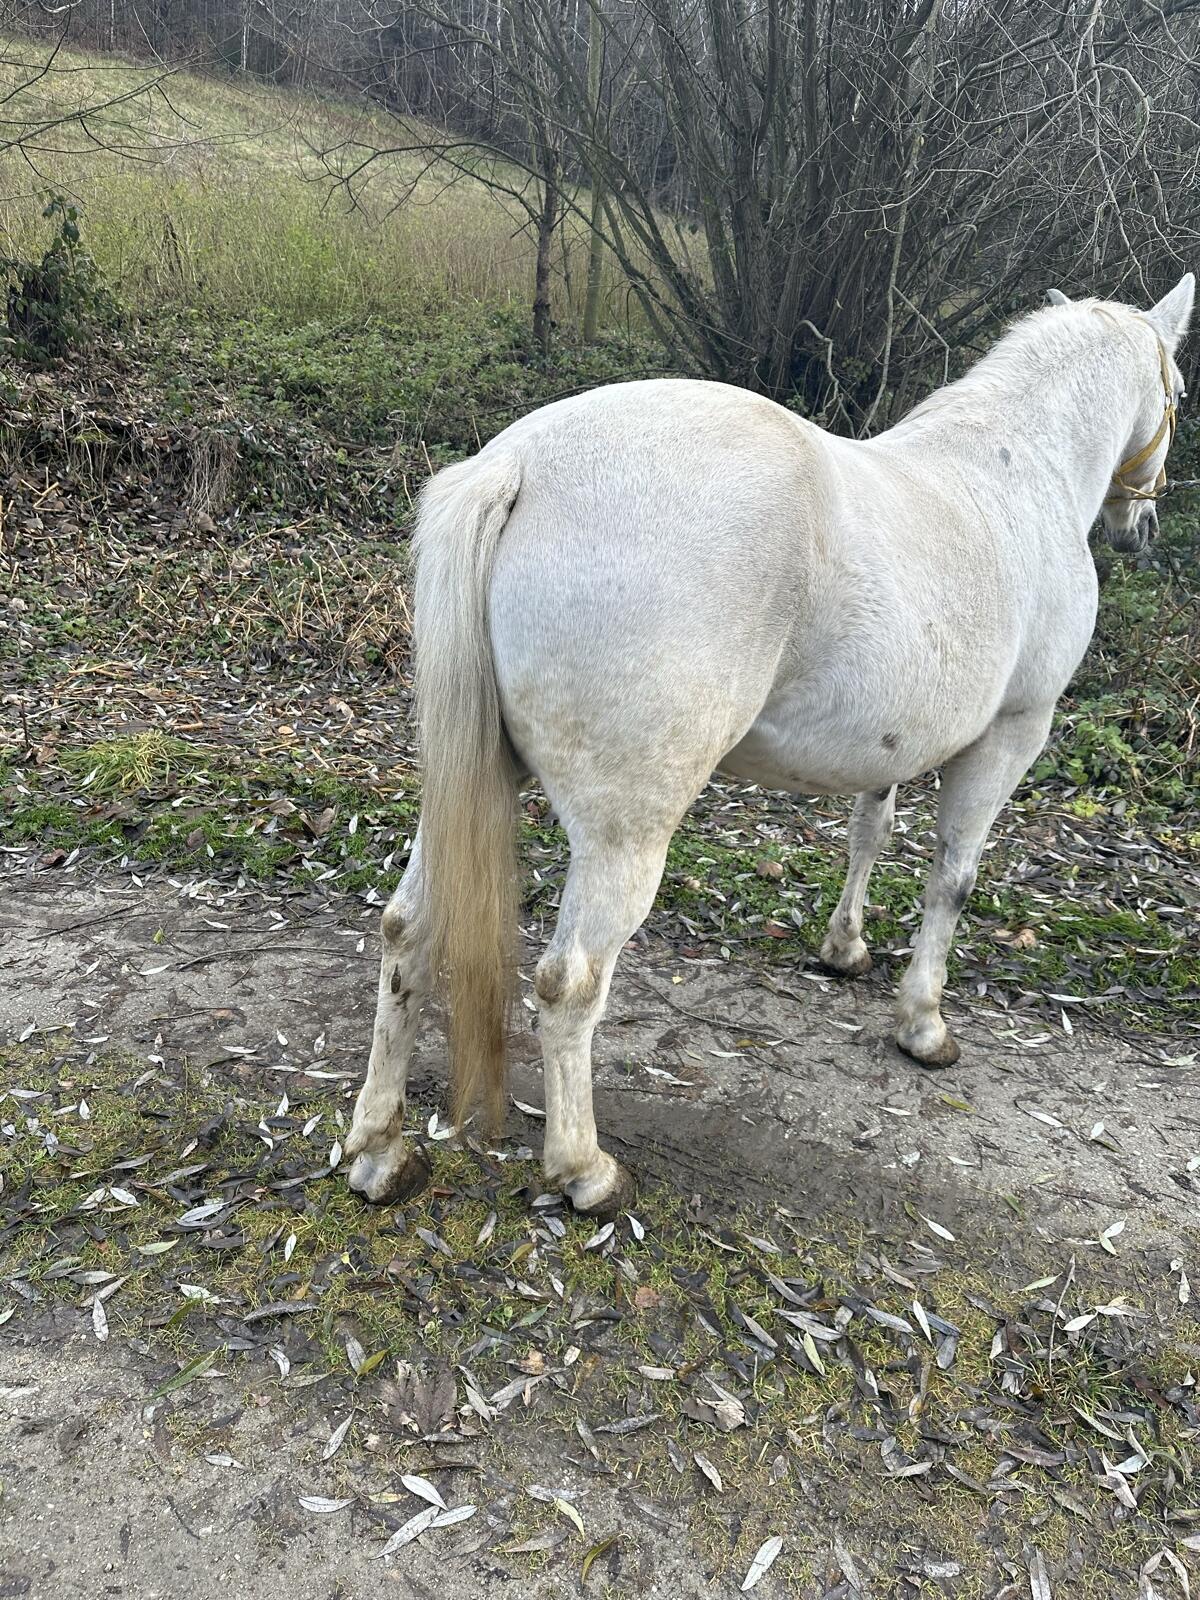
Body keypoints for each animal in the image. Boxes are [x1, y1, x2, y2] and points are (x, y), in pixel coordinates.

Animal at [344, 274, 1193, 1218]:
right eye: (1180, 392)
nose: (1142, 524)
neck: (1017, 474)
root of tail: (520, 466)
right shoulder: (1011, 735)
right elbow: (953, 878)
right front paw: (923, 1024)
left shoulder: (891, 746)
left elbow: (870, 834)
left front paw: (845, 950)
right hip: (623, 833)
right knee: (570, 983)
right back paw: (585, 1171)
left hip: (470, 786)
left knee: (407, 931)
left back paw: (379, 1152)